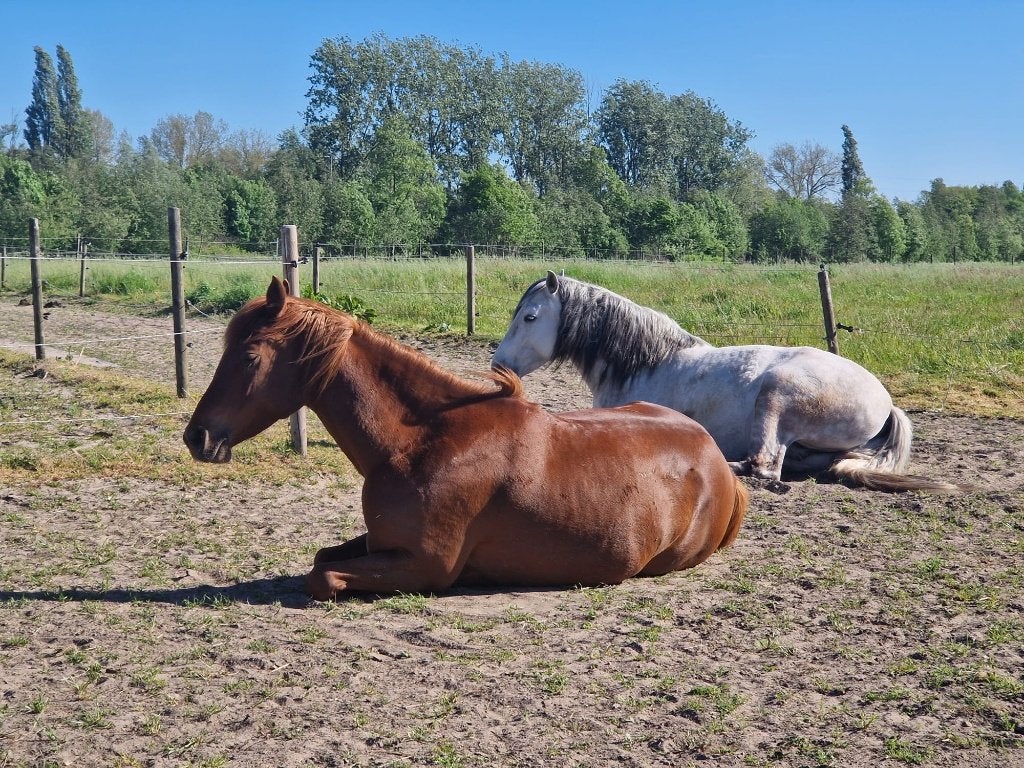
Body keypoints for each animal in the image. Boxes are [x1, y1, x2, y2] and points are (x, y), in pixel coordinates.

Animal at [184, 277, 749, 600]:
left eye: (250, 357)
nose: (197, 436)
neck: (419, 443)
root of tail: (718, 461)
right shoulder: (380, 544)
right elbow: (323, 558)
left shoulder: (424, 568)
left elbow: (320, 577)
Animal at [492, 271, 958, 493]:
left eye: (529, 317)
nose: (499, 365)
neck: (646, 363)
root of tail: (885, 402)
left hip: (776, 396)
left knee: (763, 467)